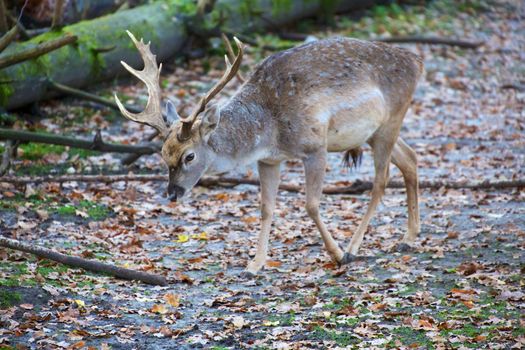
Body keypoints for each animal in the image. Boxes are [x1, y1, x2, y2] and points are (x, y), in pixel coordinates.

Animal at [114, 30, 422, 276]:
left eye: (189, 156)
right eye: (163, 154)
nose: (172, 193)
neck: (270, 130)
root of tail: (417, 62)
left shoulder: (315, 146)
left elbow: (311, 204)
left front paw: (336, 254)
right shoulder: (269, 160)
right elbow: (266, 208)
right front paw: (255, 264)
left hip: (392, 118)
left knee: (380, 181)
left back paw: (353, 248)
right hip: (374, 132)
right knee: (410, 158)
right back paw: (409, 237)